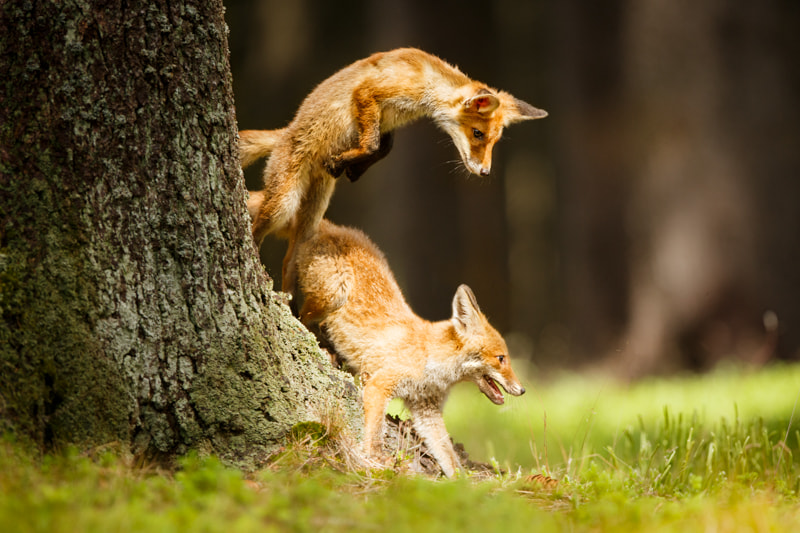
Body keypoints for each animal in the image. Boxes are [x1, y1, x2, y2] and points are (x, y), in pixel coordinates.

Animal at [241, 46, 548, 296]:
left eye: (494, 141)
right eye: (477, 134)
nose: (485, 172)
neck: (423, 82)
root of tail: (286, 132)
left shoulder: (387, 120)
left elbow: (383, 147)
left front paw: (352, 167)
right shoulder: (368, 93)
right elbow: (373, 143)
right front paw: (345, 162)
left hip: (311, 219)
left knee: (289, 259)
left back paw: (289, 303)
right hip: (283, 203)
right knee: (256, 229)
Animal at [294, 218, 524, 476]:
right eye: (501, 358)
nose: (523, 390)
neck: (432, 364)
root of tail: (332, 227)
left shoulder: (426, 411)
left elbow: (450, 458)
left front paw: (462, 482)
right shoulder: (380, 385)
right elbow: (374, 431)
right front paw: (375, 459)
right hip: (330, 298)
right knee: (301, 314)